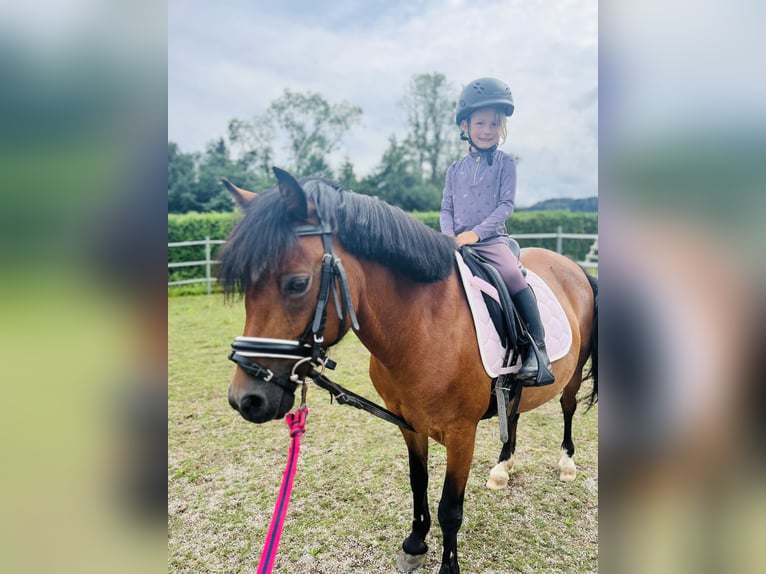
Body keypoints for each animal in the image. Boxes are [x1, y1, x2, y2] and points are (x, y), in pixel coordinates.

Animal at [219, 169, 596, 574]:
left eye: (297, 283)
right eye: (246, 284)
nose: (246, 399)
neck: (425, 324)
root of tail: (573, 266)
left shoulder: (462, 434)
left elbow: (450, 508)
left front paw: (448, 566)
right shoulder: (408, 422)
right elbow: (418, 482)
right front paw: (415, 543)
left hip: (573, 375)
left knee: (568, 407)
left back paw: (566, 463)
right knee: (514, 412)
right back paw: (503, 467)